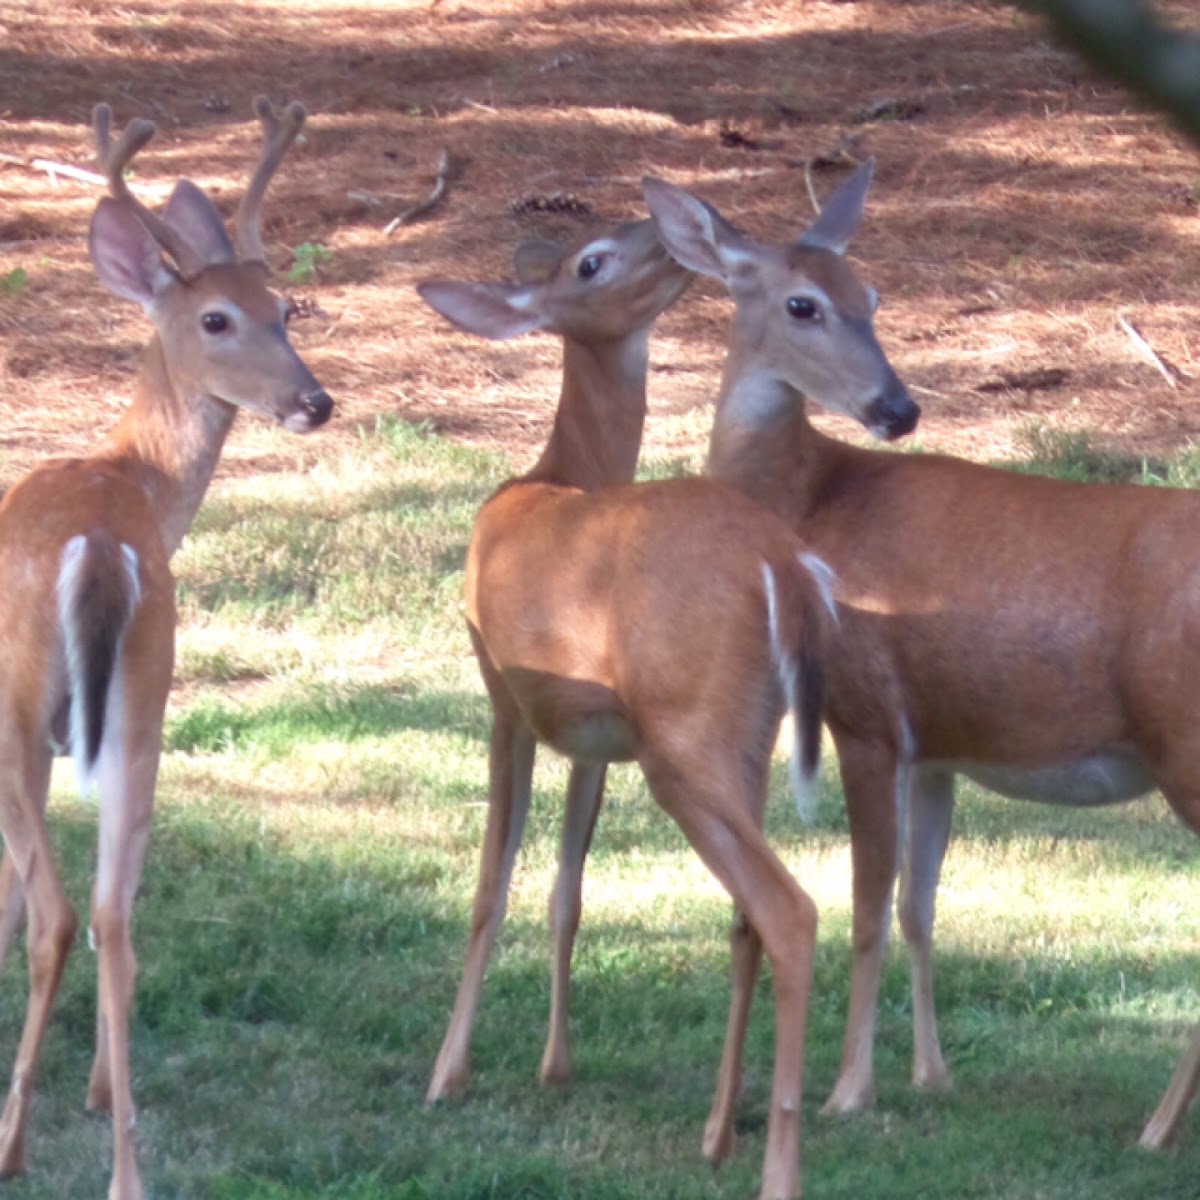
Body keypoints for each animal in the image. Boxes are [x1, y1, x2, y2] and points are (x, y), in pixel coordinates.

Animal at [0, 100, 331, 1200]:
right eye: (221, 318)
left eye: (288, 309)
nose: (315, 400)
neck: (131, 477)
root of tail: (104, 548)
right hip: (145, 699)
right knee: (115, 914)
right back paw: (121, 1152)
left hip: (23, 713)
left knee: (60, 914)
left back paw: (15, 1140)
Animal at [417, 218, 868, 1200]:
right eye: (592, 259)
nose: (657, 226)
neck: (551, 480)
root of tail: (782, 564)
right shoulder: (594, 738)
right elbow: (566, 890)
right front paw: (556, 1064)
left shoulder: (503, 696)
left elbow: (489, 887)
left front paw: (446, 1074)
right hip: (742, 733)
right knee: (746, 918)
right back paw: (718, 1135)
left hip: (685, 742)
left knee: (790, 912)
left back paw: (775, 1166)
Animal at [643, 164, 1200, 1156]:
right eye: (806, 302)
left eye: (873, 296)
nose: (898, 409)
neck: (813, 506)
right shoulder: (935, 742)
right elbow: (920, 905)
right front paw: (930, 1075)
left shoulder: (865, 712)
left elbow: (866, 907)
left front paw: (847, 1090)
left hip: (1185, 740)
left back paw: (1157, 1127)